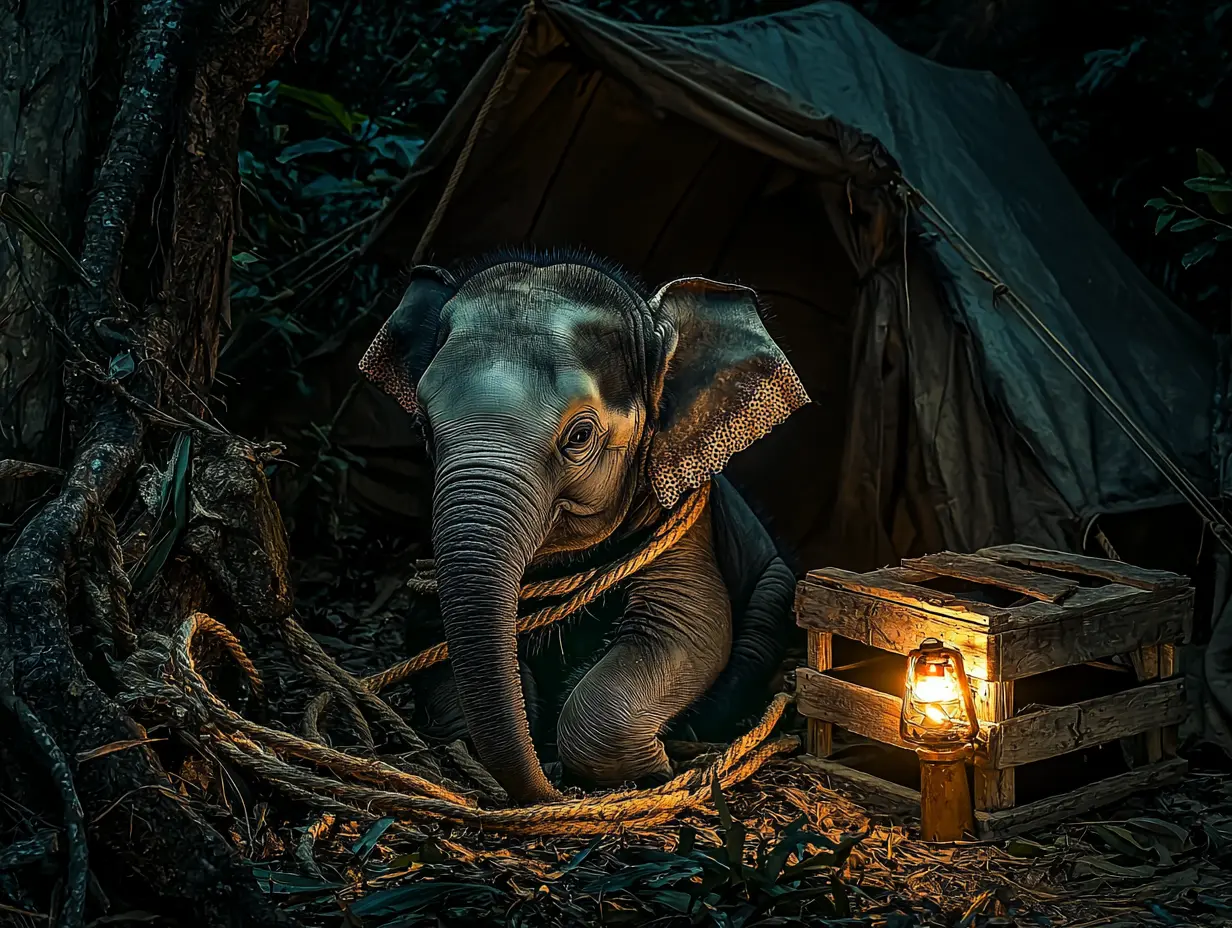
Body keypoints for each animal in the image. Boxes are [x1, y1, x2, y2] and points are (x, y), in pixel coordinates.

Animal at [358, 248, 810, 804]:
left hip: (775, 583)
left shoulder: (688, 530)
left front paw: (653, 768)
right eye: (422, 425)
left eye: (579, 435)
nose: (552, 790)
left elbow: (693, 626)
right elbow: (427, 626)